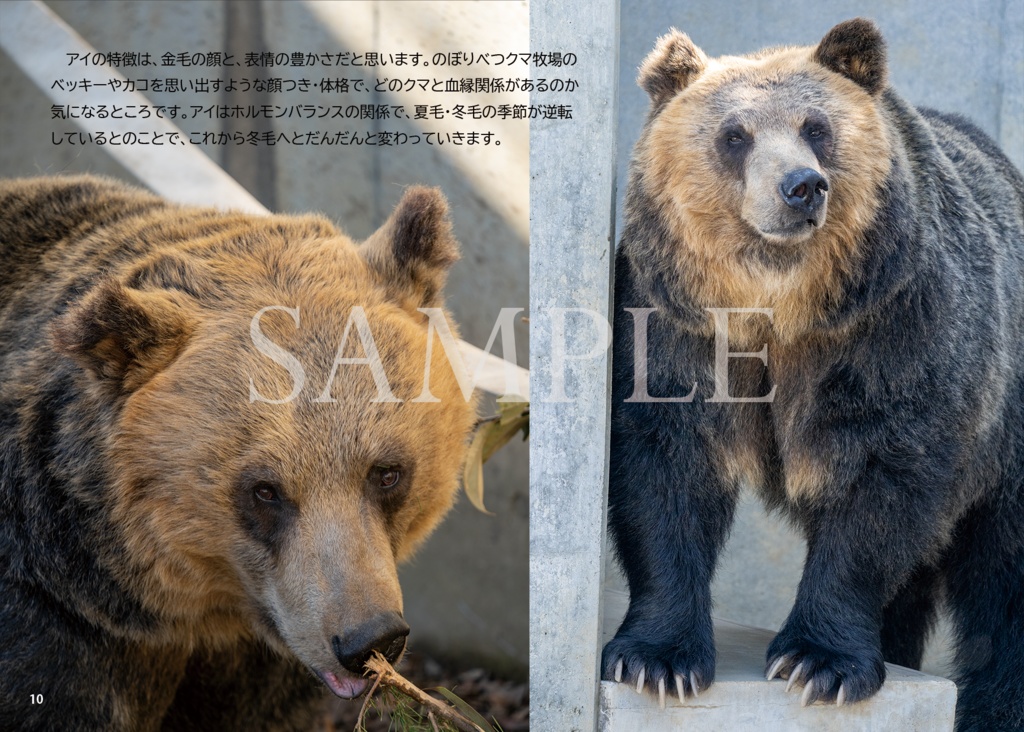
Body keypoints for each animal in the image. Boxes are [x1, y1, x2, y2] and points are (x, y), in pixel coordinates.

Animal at [602, 18, 1024, 732]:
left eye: (816, 127)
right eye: (735, 134)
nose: (801, 185)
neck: (780, 306)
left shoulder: (897, 329)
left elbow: (878, 488)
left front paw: (818, 663)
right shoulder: (677, 326)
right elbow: (665, 466)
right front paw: (658, 660)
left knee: (1005, 581)